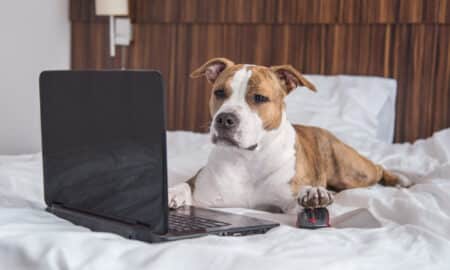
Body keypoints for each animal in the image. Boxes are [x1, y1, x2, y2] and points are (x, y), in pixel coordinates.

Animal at [169, 57, 412, 213]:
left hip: (351, 172)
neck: (248, 158)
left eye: (259, 98)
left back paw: (400, 179)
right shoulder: (202, 192)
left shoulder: (288, 202)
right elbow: (185, 185)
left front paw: (314, 194)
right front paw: (172, 192)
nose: (224, 119)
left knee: (377, 169)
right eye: (219, 92)